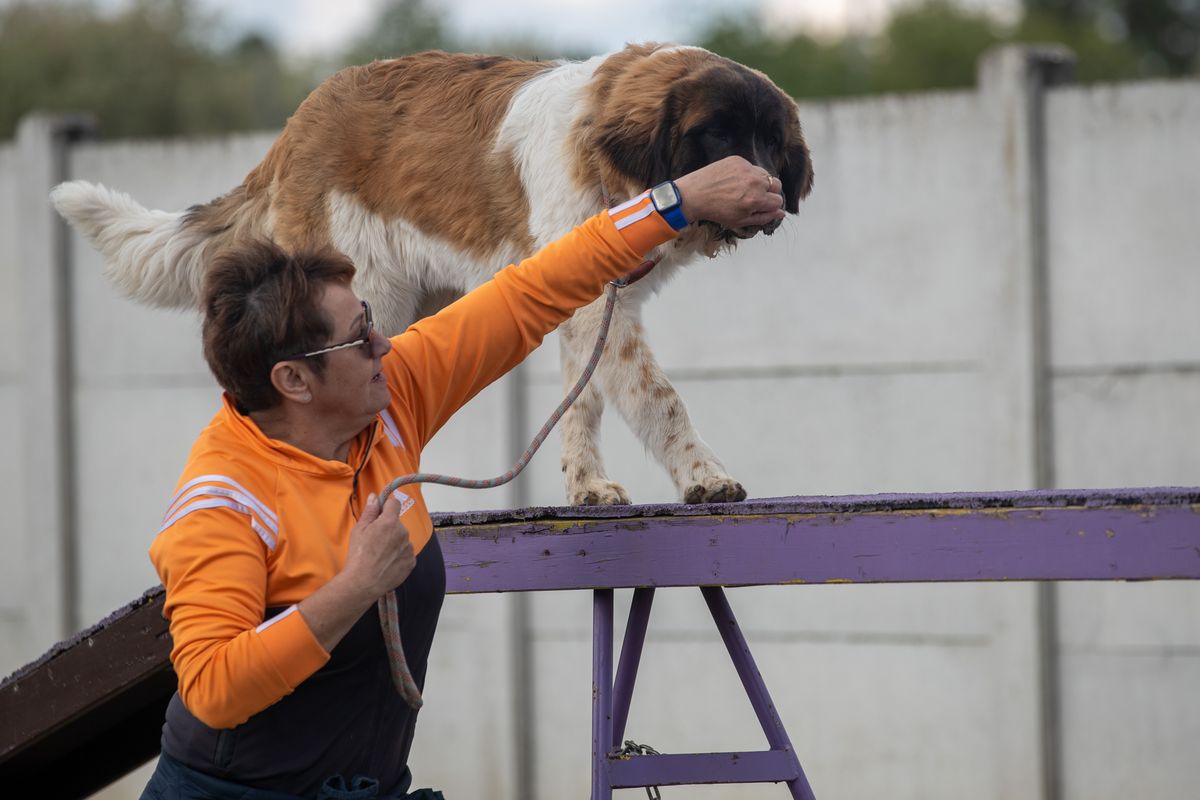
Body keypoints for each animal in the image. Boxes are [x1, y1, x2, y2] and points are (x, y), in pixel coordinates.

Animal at [51, 43, 811, 503]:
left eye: (771, 141)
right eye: (719, 136)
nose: (772, 190)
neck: (611, 164)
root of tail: (301, 121)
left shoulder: (591, 308)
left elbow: (584, 402)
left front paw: (587, 487)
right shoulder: (605, 307)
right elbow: (659, 398)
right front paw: (704, 476)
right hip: (370, 303)